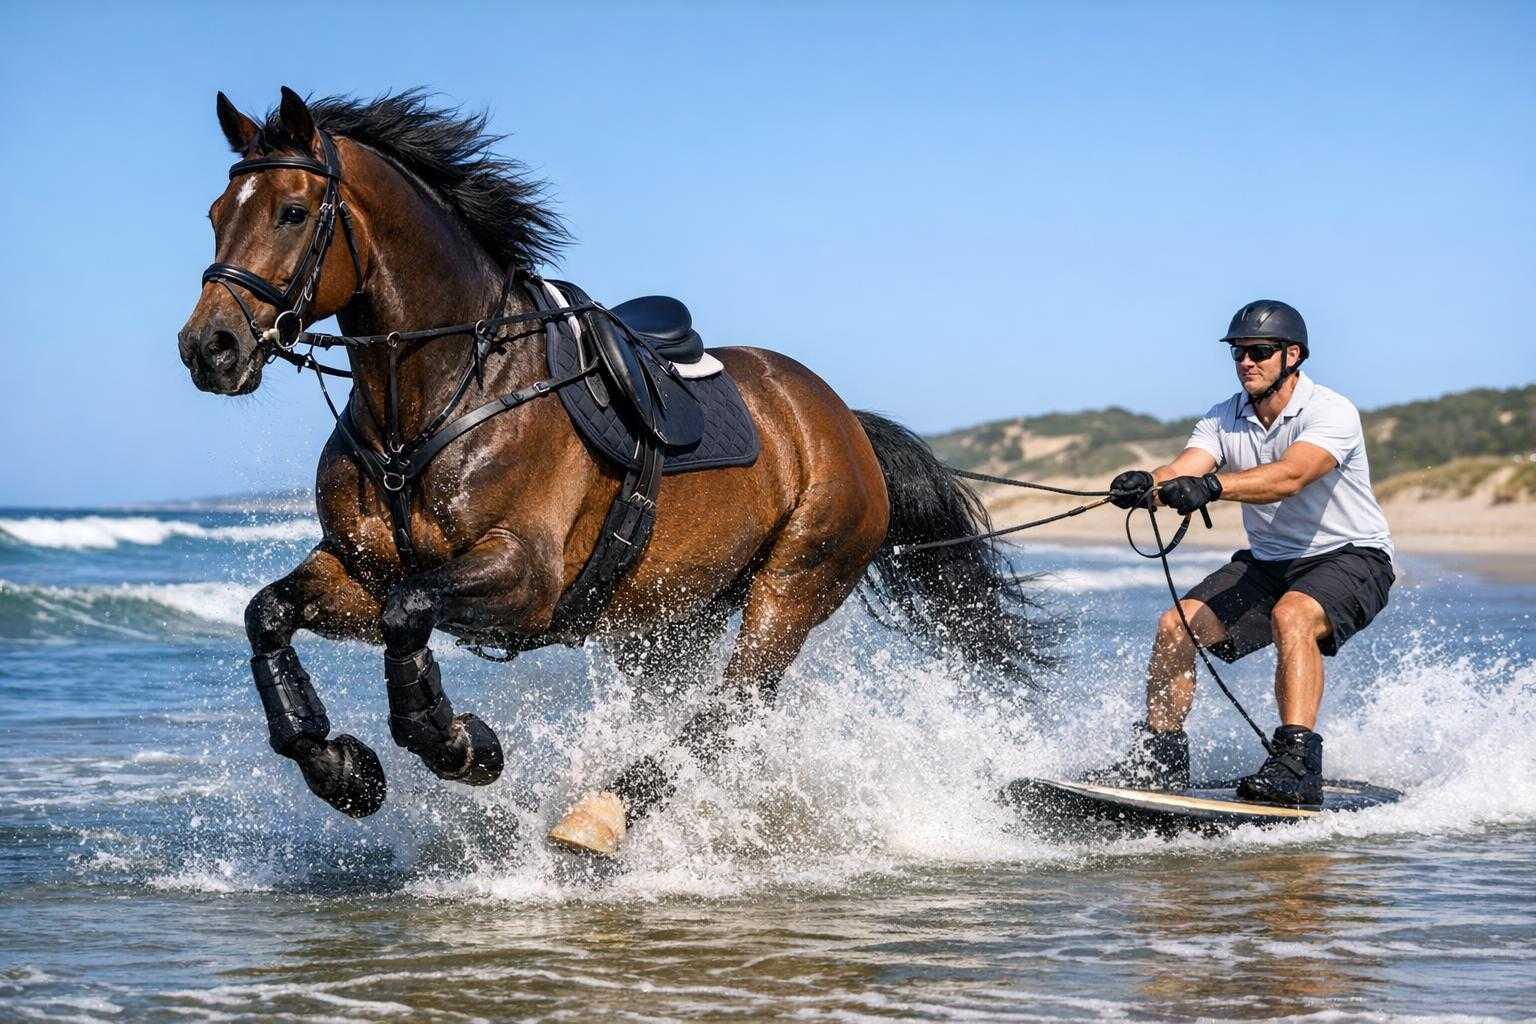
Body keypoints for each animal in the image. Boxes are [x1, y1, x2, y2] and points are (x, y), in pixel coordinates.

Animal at [176, 87, 1048, 857]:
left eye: (291, 213)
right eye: (216, 215)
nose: (208, 349)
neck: (441, 394)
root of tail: (841, 420)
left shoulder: (524, 577)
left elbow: (408, 616)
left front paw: (459, 745)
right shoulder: (362, 567)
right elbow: (269, 614)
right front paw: (344, 772)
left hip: (795, 583)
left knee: (729, 710)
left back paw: (599, 816)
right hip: (670, 619)